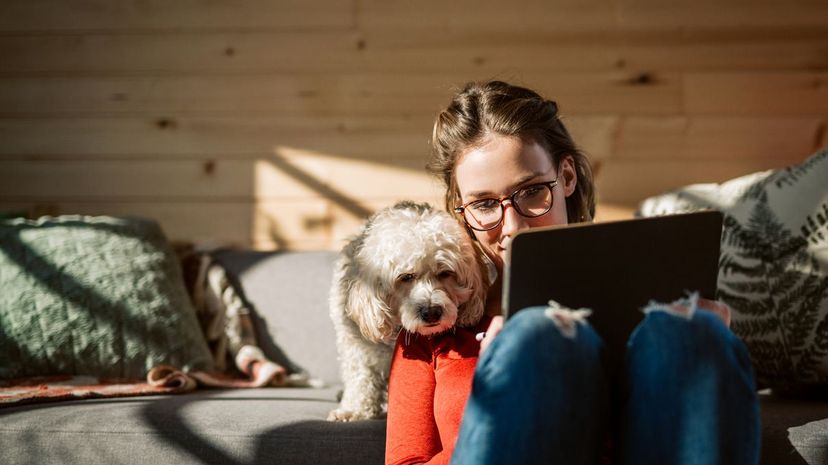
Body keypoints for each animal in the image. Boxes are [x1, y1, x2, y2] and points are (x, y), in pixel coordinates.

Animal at [326, 199, 488, 420]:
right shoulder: (356, 345)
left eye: (445, 273)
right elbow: (360, 376)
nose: (432, 312)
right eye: (406, 277)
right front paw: (354, 409)